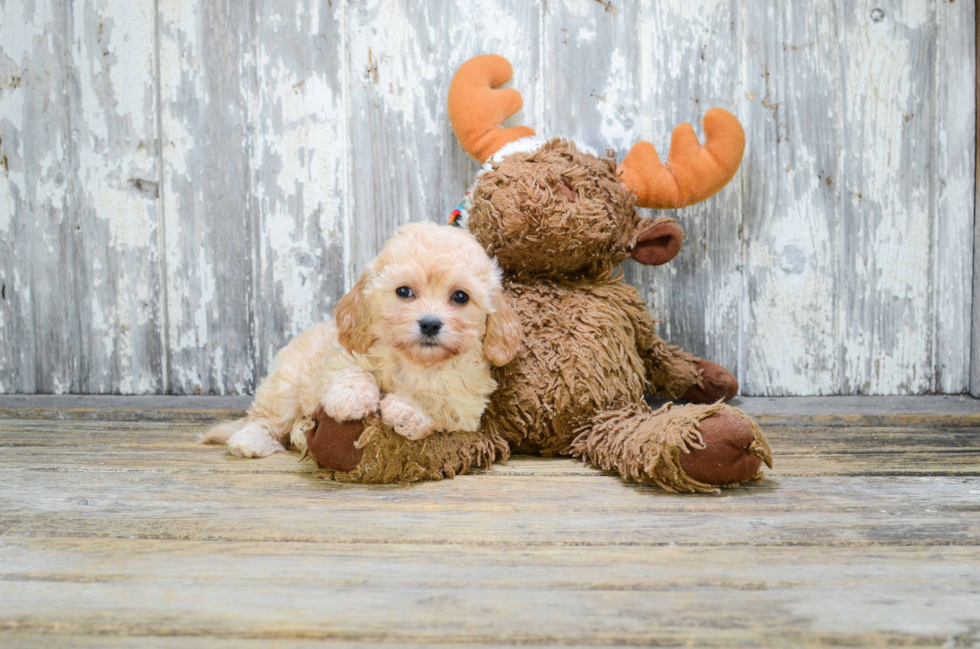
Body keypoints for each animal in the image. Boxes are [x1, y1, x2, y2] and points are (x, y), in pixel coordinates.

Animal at [204, 223, 524, 456]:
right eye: (404, 291)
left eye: (460, 297)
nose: (430, 323)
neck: (415, 362)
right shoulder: (344, 351)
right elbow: (351, 371)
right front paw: (352, 399)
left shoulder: (467, 402)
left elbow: (439, 402)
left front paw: (408, 411)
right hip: (283, 385)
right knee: (268, 419)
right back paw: (251, 441)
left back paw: (300, 435)